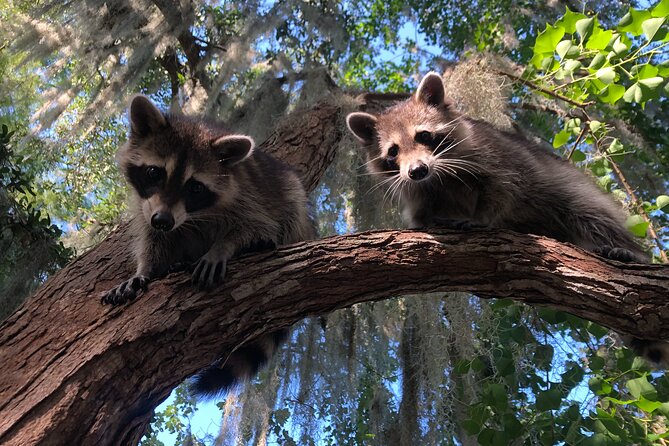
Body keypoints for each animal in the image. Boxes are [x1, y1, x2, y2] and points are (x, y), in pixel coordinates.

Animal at [101, 95, 316, 398]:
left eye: (195, 187)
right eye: (154, 172)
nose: (163, 221)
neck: (193, 215)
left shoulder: (249, 195)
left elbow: (255, 225)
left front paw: (223, 246)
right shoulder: (147, 208)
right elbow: (152, 240)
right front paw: (144, 270)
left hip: (292, 201)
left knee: (291, 204)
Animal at [348, 72, 664, 366]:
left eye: (423, 136)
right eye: (393, 152)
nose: (416, 170)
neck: (438, 175)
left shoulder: (493, 152)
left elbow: (506, 187)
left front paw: (482, 218)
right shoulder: (419, 193)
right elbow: (421, 216)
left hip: (572, 189)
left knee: (592, 214)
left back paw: (629, 251)